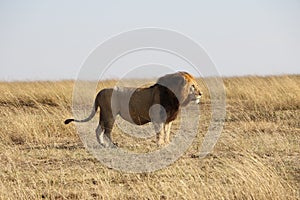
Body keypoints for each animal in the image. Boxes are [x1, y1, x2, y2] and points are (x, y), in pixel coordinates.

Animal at [64, 71, 203, 147]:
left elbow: (167, 132)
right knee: (107, 131)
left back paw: (103, 144)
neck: (175, 96)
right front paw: (160, 144)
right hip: (110, 114)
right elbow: (160, 132)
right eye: (193, 86)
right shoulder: (157, 118)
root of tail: (100, 91)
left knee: (98, 129)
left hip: (104, 114)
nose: (201, 93)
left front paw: (167, 143)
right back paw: (113, 145)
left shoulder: (168, 120)